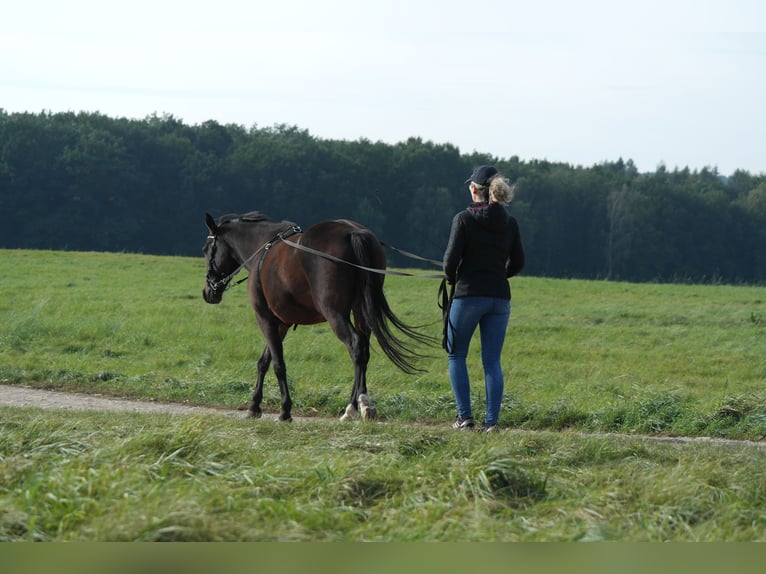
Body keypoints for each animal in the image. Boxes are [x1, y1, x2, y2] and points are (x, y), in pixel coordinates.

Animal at [202, 211, 431, 422]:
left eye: (206, 250)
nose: (208, 292)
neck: (262, 249)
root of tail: (353, 232)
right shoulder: (281, 323)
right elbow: (264, 361)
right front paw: (254, 405)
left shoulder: (265, 319)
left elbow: (278, 364)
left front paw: (285, 411)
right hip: (360, 310)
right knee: (363, 351)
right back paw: (362, 403)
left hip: (334, 313)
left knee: (355, 346)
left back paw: (353, 407)